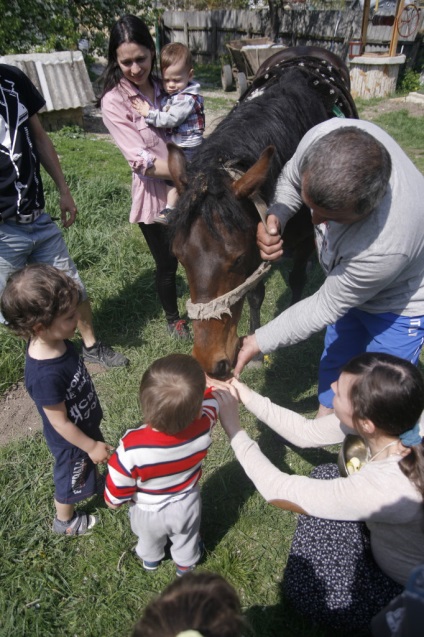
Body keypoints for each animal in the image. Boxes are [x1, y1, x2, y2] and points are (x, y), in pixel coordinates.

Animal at [167, 48, 356, 382]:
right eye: (179, 256)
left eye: (238, 259)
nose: (209, 363)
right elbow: (255, 292)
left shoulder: (302, 237)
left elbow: (295, 280)